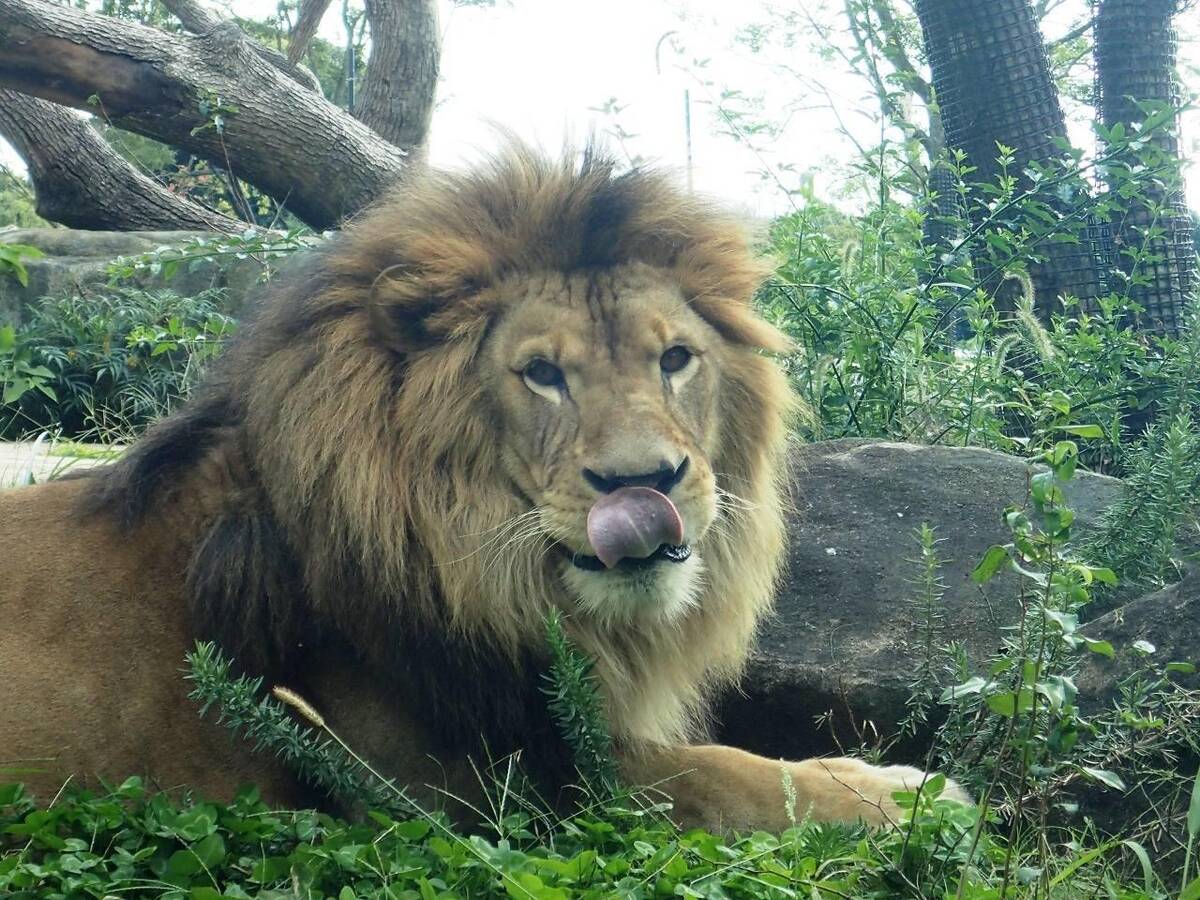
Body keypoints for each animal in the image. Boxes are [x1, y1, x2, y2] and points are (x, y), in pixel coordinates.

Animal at [0, 142, 964, 830]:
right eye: (541, 374)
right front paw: (906, 796)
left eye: (675, 359)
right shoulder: (459, 790)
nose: (646, 482)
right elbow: (723, 775)